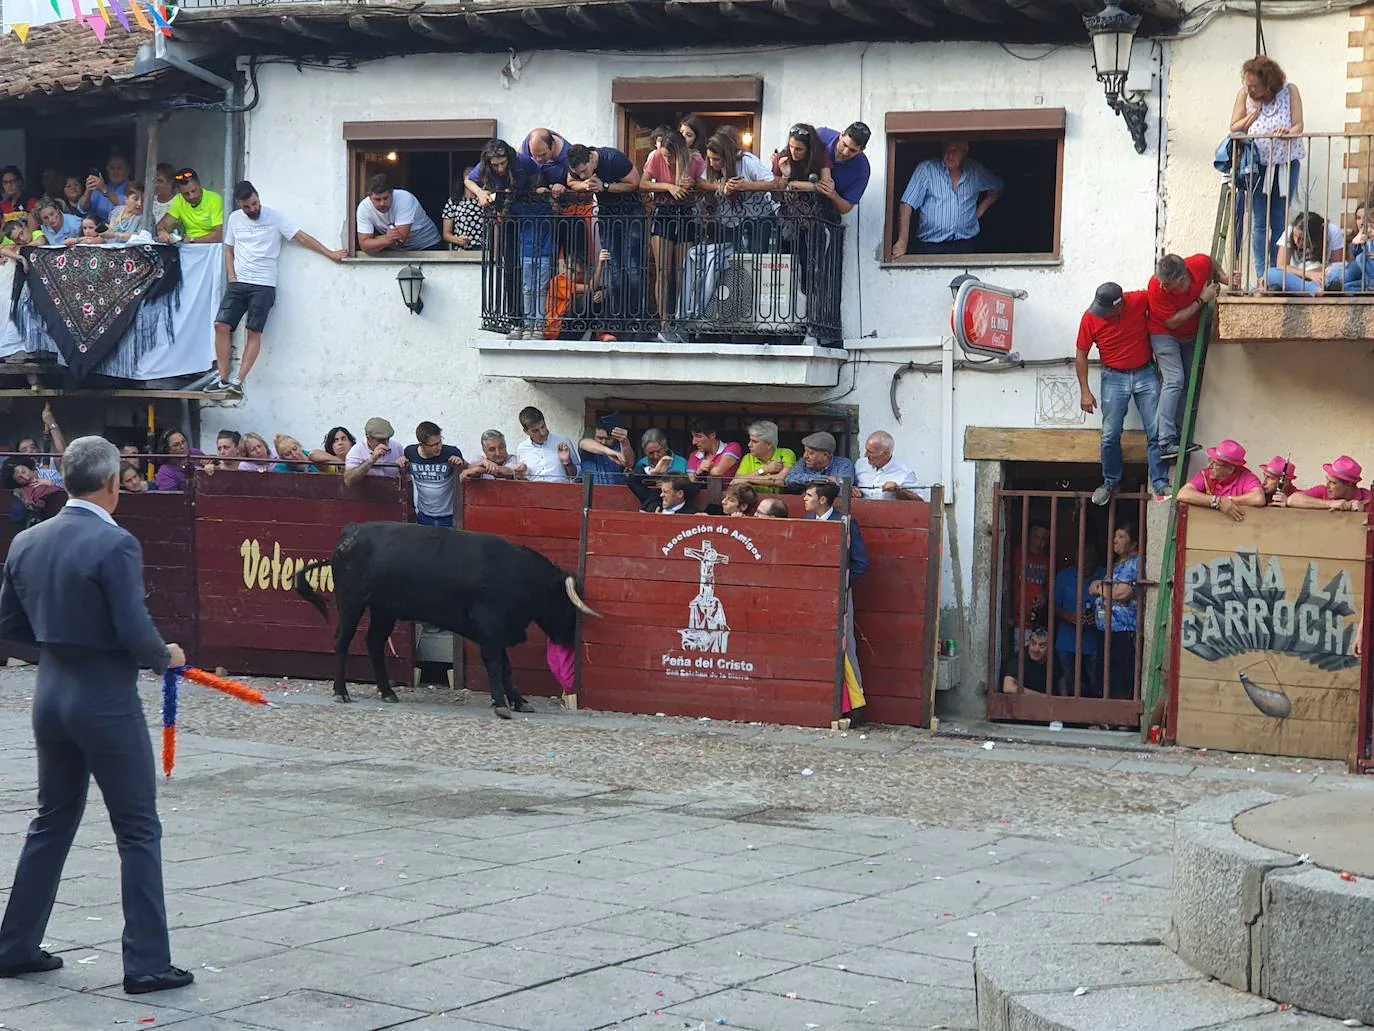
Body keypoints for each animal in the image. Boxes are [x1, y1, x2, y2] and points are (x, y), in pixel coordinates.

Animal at [295, 525, 601, 703]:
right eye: (566, 605)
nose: (569, 640)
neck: (518, 575)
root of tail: (349, 534)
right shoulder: (490, 626)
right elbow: (496, 664)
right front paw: (501, 702)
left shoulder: (499, 631)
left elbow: (506, 665)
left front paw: (518, 701)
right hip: (351, 601)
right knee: (342, 641)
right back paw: (341, 692)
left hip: (384, 609)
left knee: (374, 643)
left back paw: (388, 692)